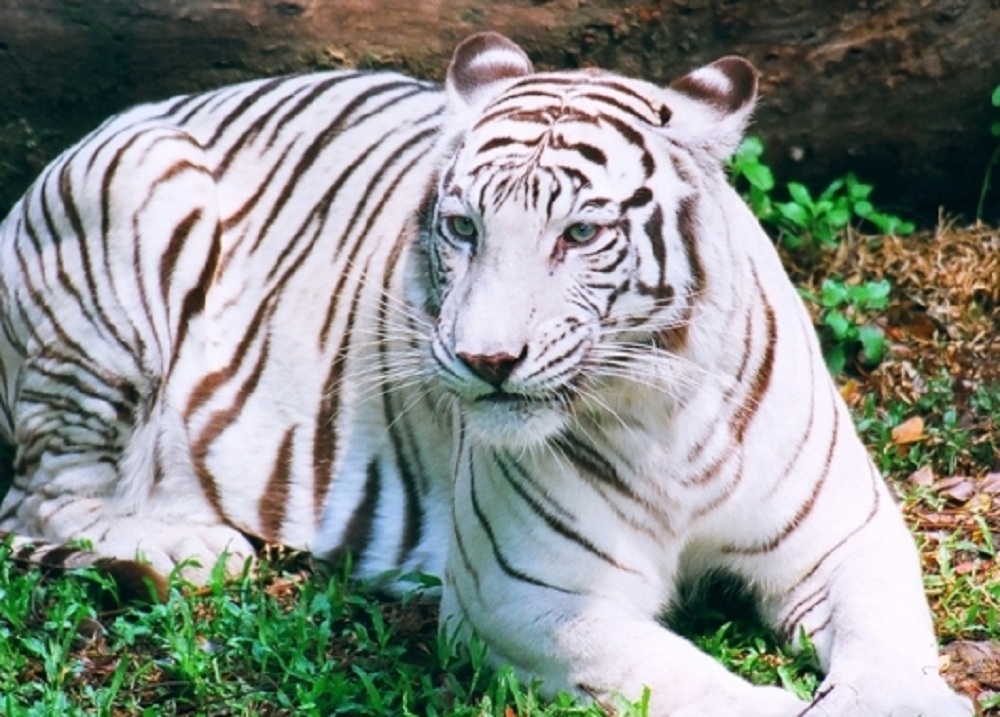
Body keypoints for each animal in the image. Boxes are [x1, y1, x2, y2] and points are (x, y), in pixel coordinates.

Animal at [0, 30, 972, 712]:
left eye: (580, 232)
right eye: (463, 227)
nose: (485, 360)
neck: (666, 417)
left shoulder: (845, 533)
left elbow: (888, 634)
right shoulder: (525, 592)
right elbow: (681, 677)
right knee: (41, 498)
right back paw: (189, 545)